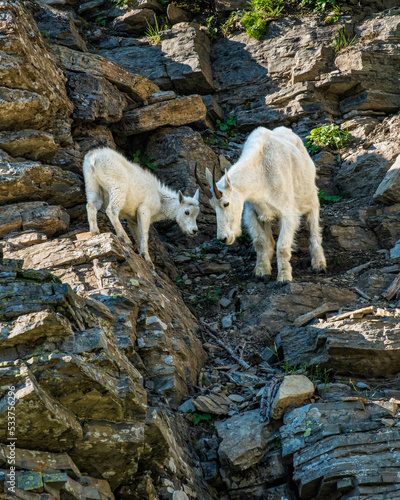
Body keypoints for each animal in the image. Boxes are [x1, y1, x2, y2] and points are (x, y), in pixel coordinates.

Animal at [197, 126, 324, 286]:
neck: (261, 174)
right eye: (212, 206)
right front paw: (262, 273)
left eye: (226, 203)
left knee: (313, 226)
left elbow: (282, 246)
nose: (223, 238)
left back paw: (319, 264)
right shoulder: (252, 213)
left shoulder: (287, 214)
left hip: (310, 195)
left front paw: (284, 278)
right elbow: (260, 242)